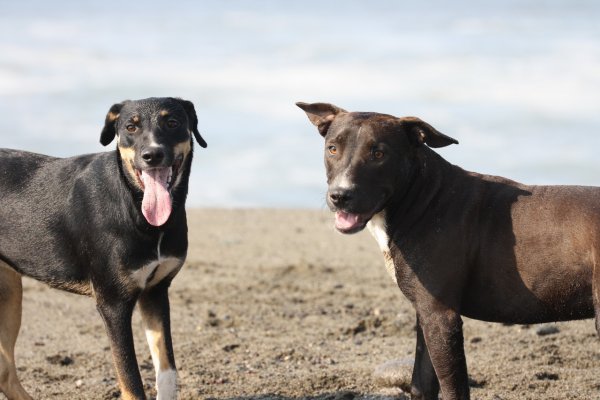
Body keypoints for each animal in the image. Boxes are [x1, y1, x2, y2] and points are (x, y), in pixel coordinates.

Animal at [0, 97, 206, 400]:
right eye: (130, 127)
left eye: (172, 122)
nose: (152, 155)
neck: (134, 205)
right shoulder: (113, 303)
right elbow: (131, 381)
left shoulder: (156, 291)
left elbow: (167, 370)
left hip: (10, 292)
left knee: (5, 373)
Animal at [298, 101, 600, 400]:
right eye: (332, 148)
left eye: (379, 153)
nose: (340, 196)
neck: (423, 195)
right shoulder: (425, 313)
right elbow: (420, 383)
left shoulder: (441, 316)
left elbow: (454, 389)